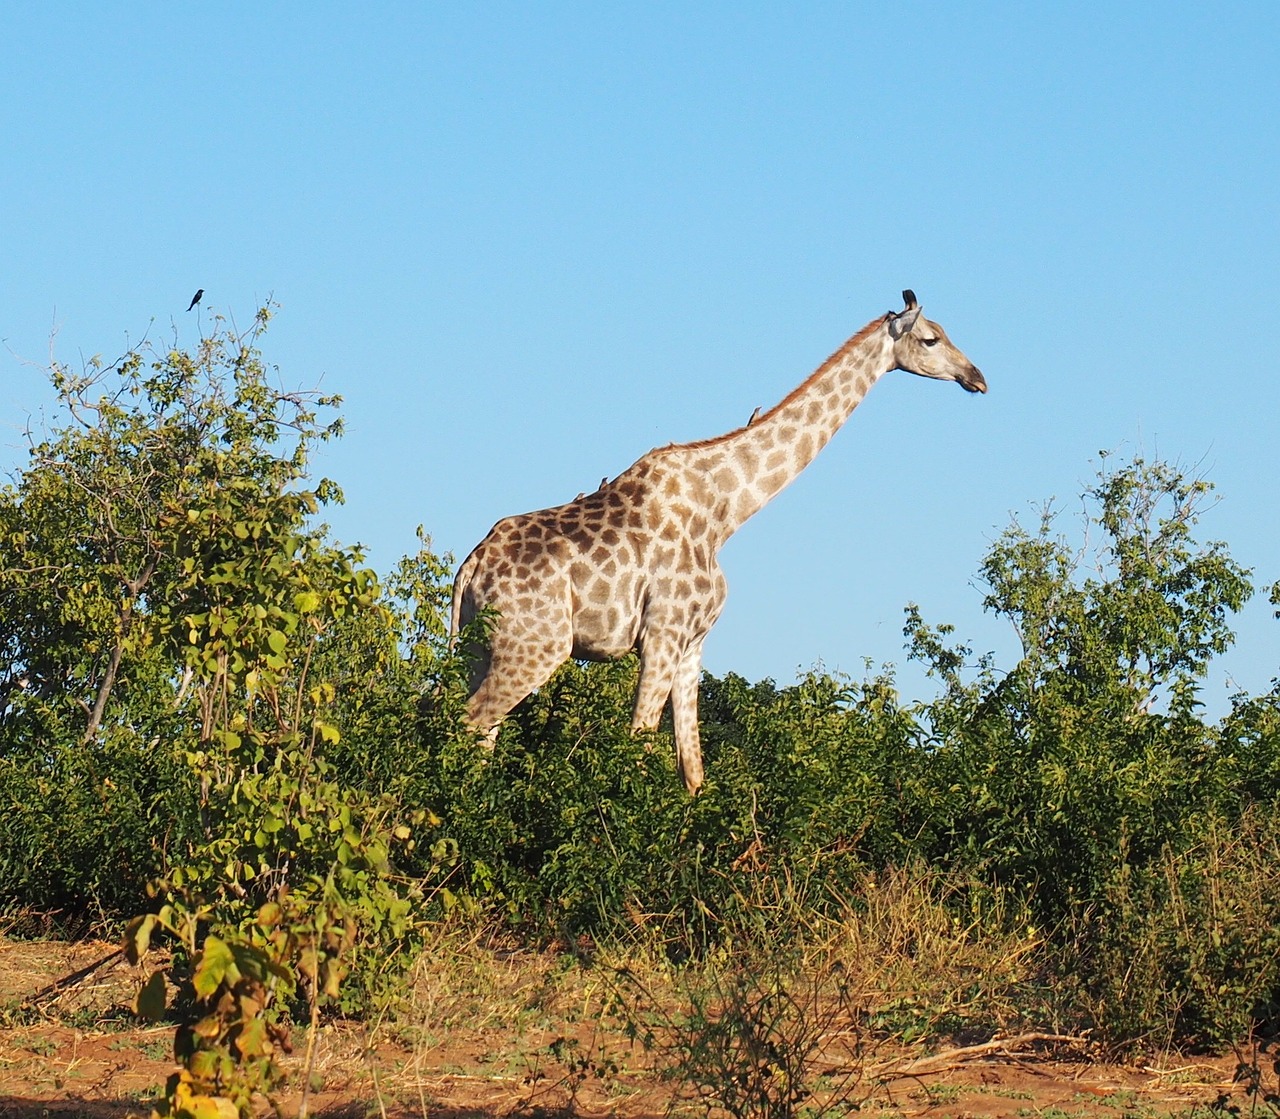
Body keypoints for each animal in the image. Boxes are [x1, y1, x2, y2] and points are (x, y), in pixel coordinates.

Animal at [453, 290, 988, 793]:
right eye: (931, 339)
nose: (977, 377)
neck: (724, 511)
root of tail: (471, 567)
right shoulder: (663, 634)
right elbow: (638, 743)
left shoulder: (693, 643)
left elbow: (692, 768)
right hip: (537, 646)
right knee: (473, 723)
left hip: (481, 649)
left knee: (471, 727)